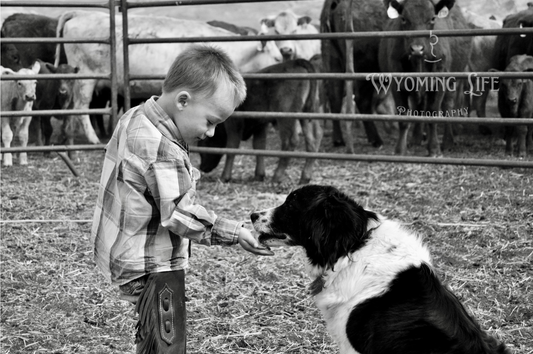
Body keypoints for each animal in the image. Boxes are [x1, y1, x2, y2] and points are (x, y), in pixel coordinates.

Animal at [55, 10, 282, 149]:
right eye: (277, 57)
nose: (283, 63)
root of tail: (82, 13)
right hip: (86, 77)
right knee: (81, 107)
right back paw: (92, 138)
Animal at [318, 0, 384, 153]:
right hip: (365, 67)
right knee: (362, 100)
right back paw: (376, 140)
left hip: (333, 60)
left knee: (334, 98)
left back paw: (338, 140)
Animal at [376, 0, 472, 156]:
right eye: (403, 19)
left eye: (432, 18)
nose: (417, 49)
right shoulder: (397, 84)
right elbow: (404, 116)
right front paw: (400, 150)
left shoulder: (439, 83)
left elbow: (432, 112)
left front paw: (434, 149)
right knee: (419, 106)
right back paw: (416, 138)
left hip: (452, 81)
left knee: (447, 107)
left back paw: (447, 142)